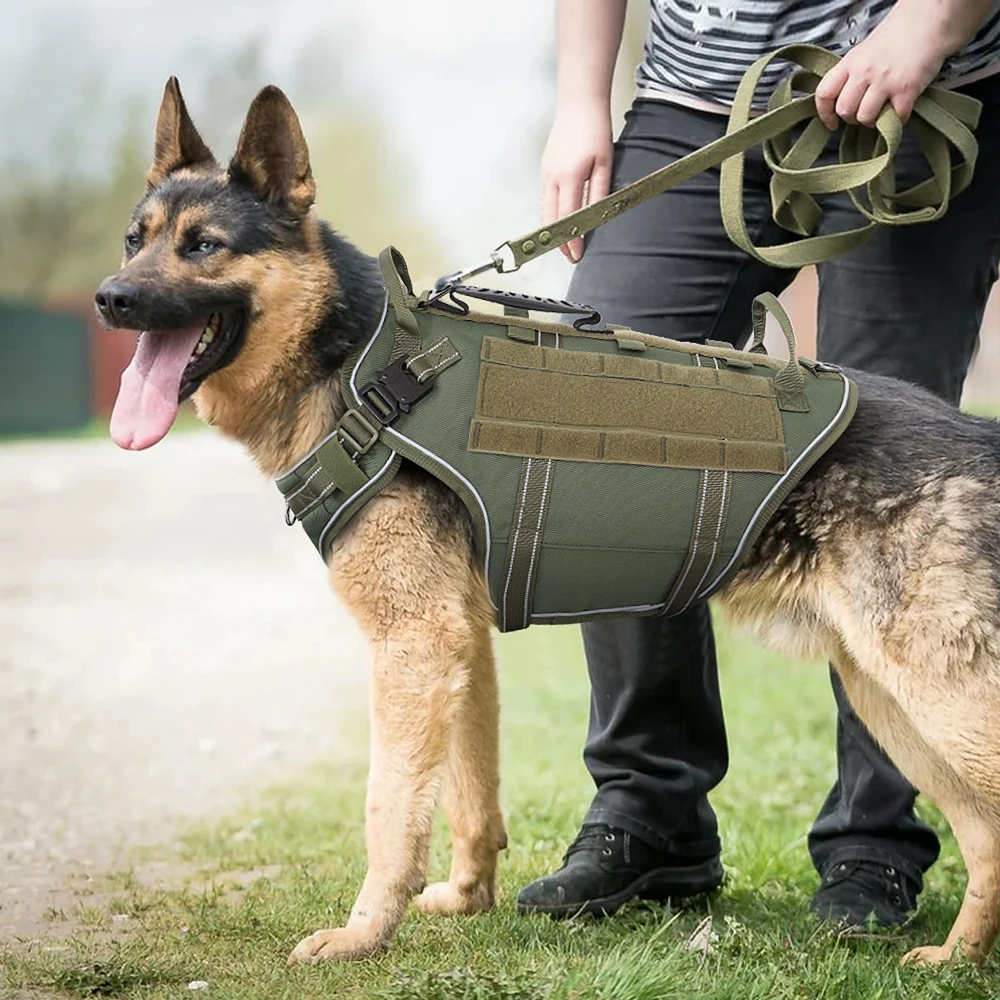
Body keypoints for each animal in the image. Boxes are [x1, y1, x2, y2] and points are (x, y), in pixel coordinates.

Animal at [95, 80, 1000, 968]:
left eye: (203, 246)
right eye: (134, 241)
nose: (111, 298)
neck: (362, 366)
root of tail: (979, 434)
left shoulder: (412, 645)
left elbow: (388, 808)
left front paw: (361, 934)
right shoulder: (460, 644)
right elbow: (470, 791)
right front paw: (466, 899)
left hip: (931, 697)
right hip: (889, 703)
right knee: (985, 834)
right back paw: (954, 955)